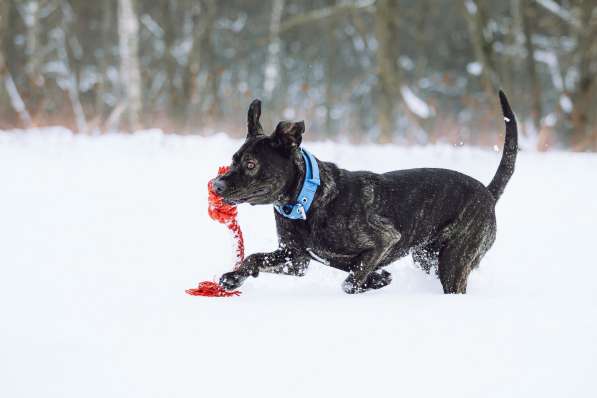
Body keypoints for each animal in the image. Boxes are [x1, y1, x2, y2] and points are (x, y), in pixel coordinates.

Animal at [212, 91, 516, 294]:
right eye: (233, 159)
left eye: (251, 164)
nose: (216, 185)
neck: (306, 202)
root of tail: (488, 193)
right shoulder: (294, 259)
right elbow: (253, 258)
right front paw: (234, 276)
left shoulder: (385, 239)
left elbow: (352, 280)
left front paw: (374, 281)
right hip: (427, 258)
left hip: (454, 262)